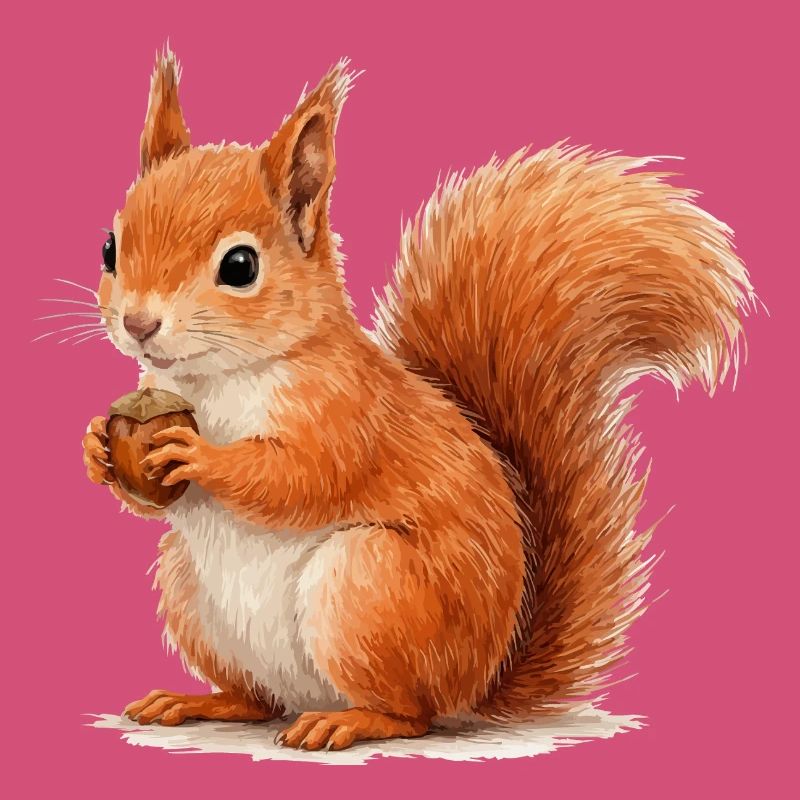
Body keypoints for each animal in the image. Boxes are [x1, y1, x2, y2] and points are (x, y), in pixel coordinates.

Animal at [81, 49, 755, 751]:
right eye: (110, 247)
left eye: (240, 266)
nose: (138, 324)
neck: (216, 379)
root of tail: (477, 685)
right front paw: (97, 448)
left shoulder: (347, 410)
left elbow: (301, 477)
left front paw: (199, 454)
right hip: (190, 592)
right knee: (257, 699)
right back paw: (199, 701)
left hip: (370, 587)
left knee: (411, 714)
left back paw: (347, 720)